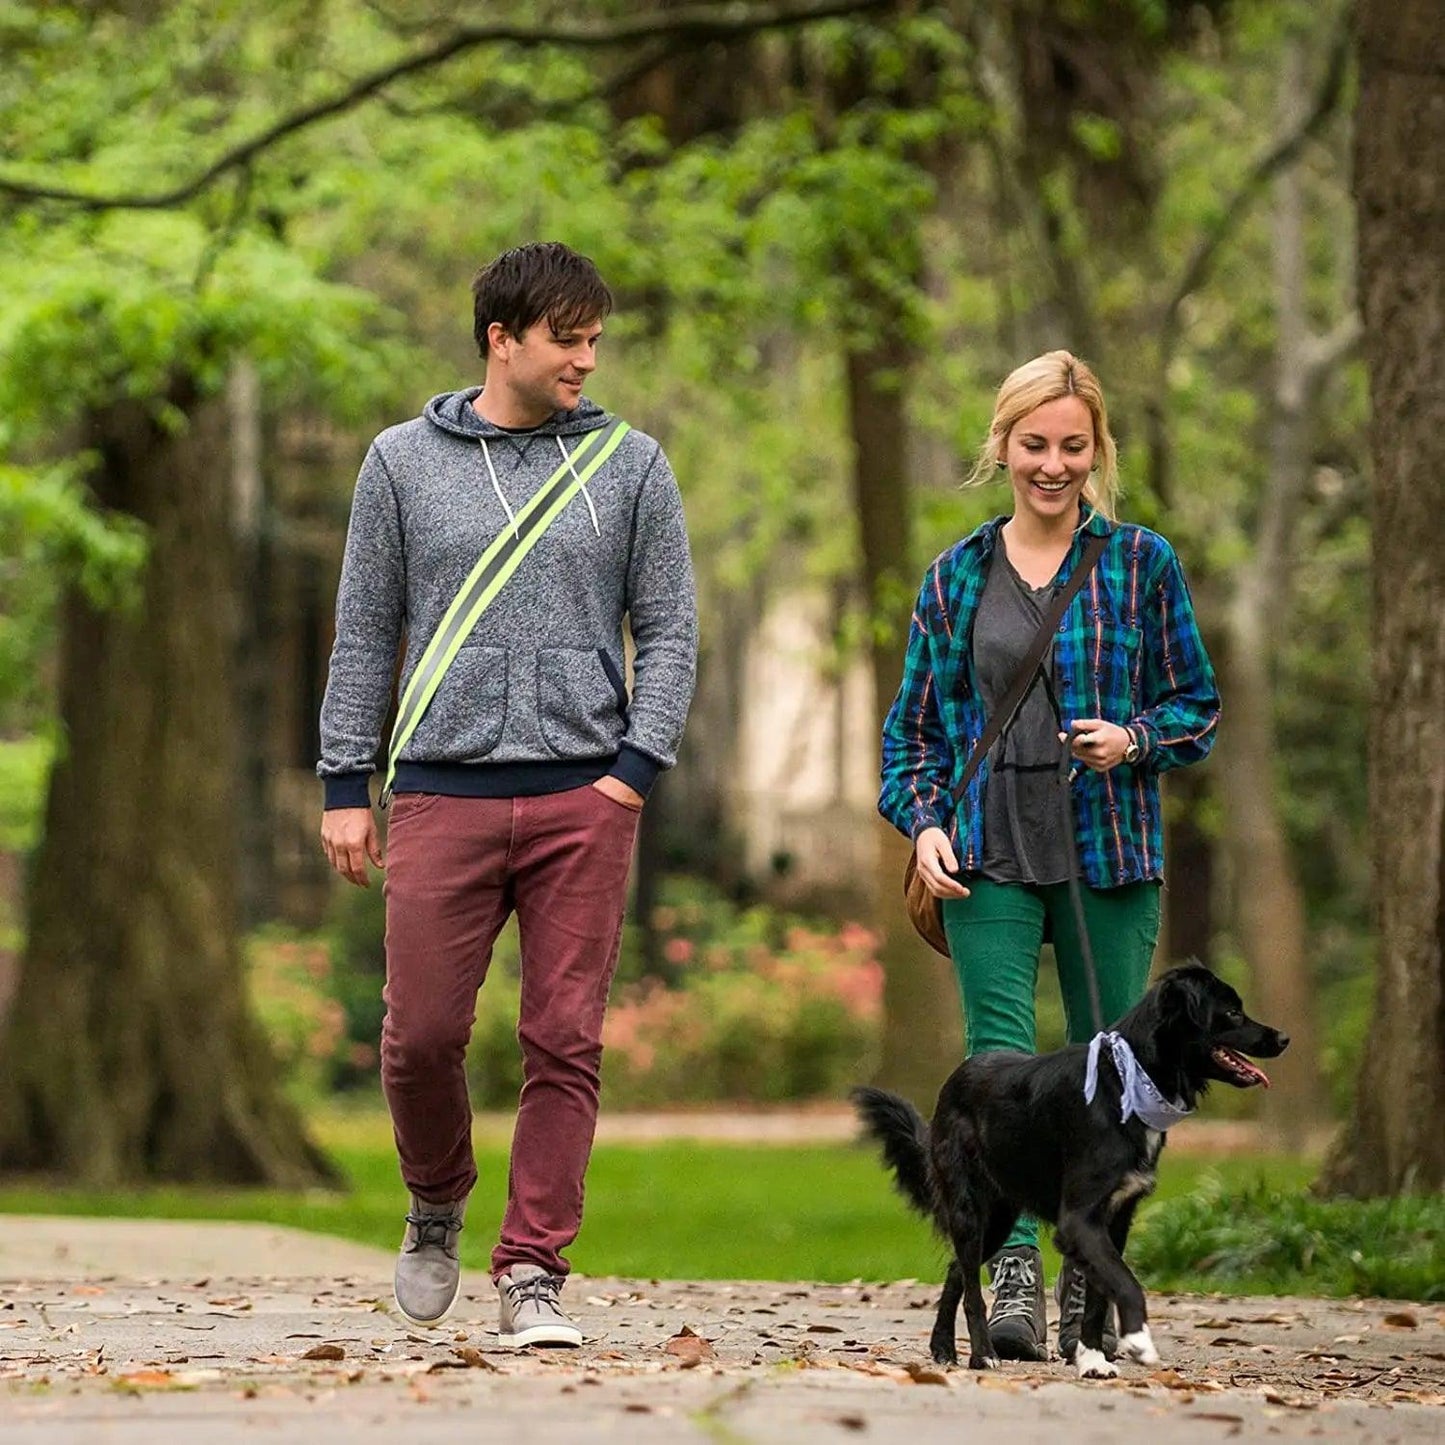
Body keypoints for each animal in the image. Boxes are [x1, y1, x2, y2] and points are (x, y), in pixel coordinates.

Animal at [849, 959, 1283, 1375]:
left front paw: (1092, 1358)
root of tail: (955, 1079)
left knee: (958, 1269)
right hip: (970, 1206)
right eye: (1232, 1012)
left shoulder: (1116, 1218)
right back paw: (983, 1355)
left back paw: (942, 1346)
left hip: (1000, 1213)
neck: (1127, 1080)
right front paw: (1138, 1340)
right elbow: (1125, 1281)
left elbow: (1098, 1295)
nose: (1283, 1039)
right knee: (971, 1285)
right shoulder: (1079, 1218)